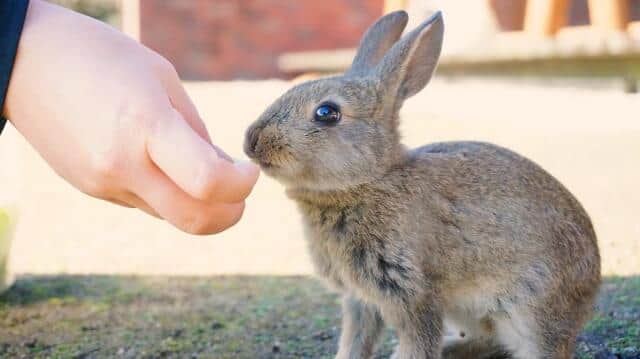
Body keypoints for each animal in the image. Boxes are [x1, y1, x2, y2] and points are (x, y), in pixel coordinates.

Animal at [242, 9, 604, 358]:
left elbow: (418, 342)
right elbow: (355, 341)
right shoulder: (361, 299)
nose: (252, 141)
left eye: (327, 113)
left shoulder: (411, 292)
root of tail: (589, 294)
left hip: (530, 309)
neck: (368, 181)